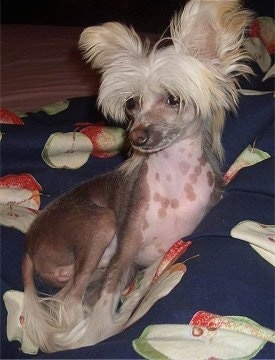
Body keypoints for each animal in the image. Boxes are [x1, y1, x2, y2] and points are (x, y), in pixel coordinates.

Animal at [22, 0, 253, 352]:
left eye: (173, 99)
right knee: (69, 302)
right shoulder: (125, 253)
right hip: (101, 223)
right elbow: (104, 309)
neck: (174, 183)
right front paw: (96, 336)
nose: (136, 136)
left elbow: (138, 295)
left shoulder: (161, 256)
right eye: (132, 104)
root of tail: (31, 241)